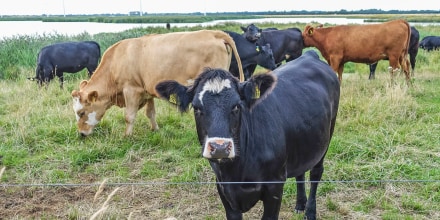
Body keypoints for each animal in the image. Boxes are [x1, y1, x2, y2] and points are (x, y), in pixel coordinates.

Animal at [71, 30, 244, 137]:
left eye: (81, 112)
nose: (81, 134)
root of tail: (215, 33)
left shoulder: (131, 89)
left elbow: (129, 116)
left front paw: (127, 136)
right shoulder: (147, 91)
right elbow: (150, 113)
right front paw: (155, 129)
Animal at [155, 50, 340, 220]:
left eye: (237, 106)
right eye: (196, 107)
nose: (220, 147)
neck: (237, 172)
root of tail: (309, 55)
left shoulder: (275, 186)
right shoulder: (223, 189)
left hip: (327, 135)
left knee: (316, 173)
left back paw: (310, 212)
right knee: (300, 171)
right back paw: (300, 205)